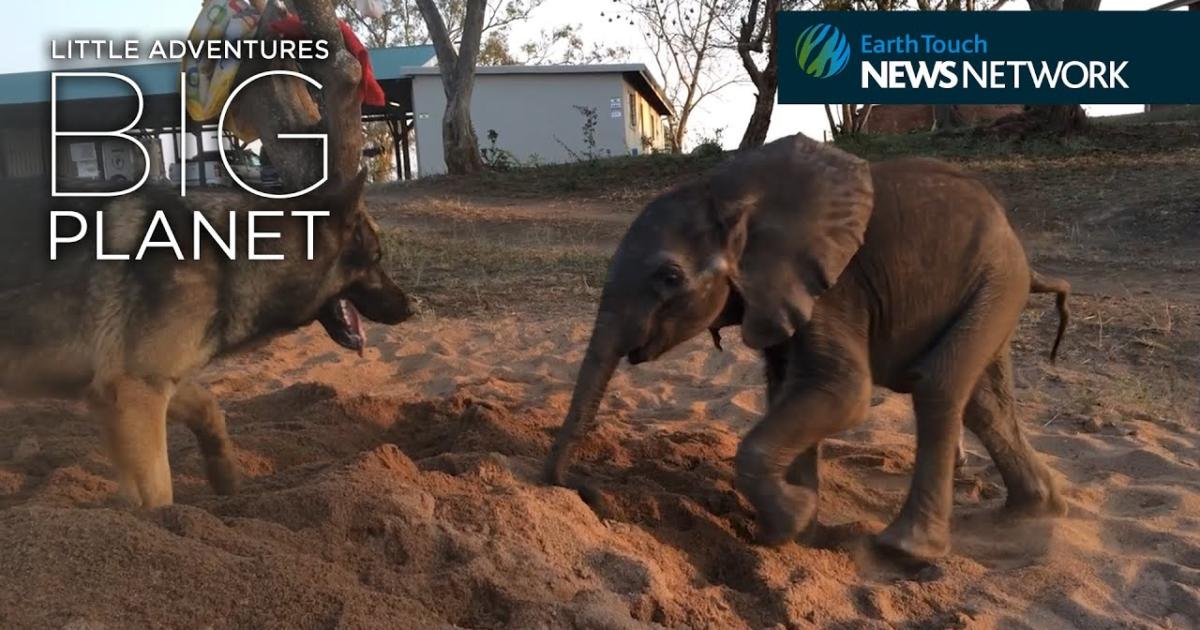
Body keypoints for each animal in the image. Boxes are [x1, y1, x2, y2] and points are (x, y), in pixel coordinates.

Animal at [543, 133, 1071, 562]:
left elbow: (842, 392)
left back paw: (905, 550)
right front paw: (803, 535)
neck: (732, 198)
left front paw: (791, 522)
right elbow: (788, 390)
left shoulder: (836, 287)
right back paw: (1030, 513)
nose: (585, 492)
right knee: (983, 402)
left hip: (996, 281)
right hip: (991, 288)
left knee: (938, 385)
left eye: (669, 277)